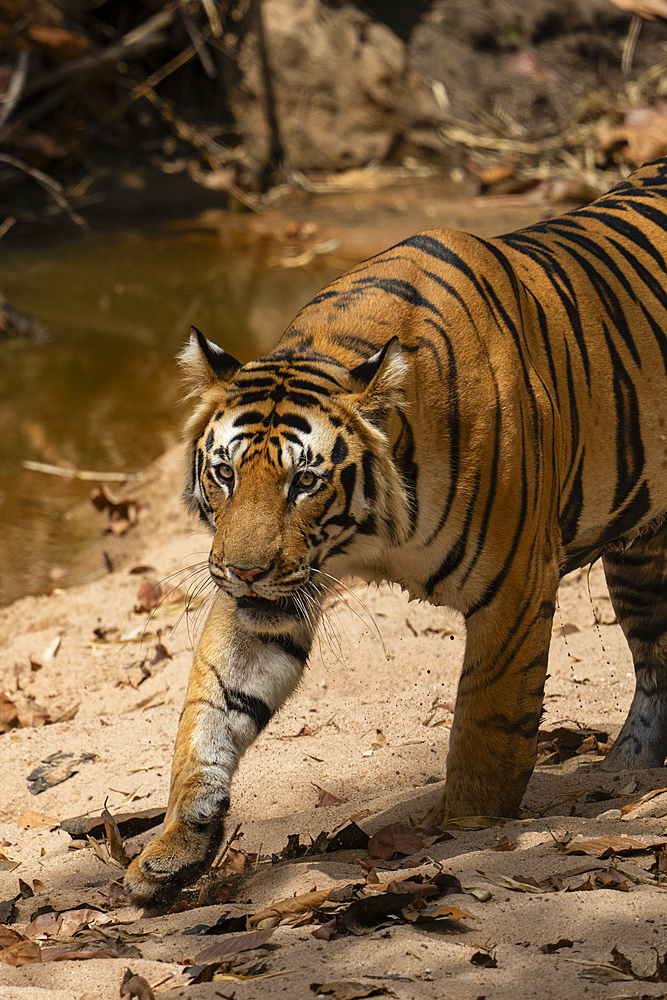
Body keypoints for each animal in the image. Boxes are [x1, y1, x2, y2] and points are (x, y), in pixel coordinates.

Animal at [125, 156, 667, 908]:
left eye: (304, 482)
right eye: (225, 474)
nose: (243, 571)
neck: (372, 532)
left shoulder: (516, 588)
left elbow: (486, 725)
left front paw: (464, 826)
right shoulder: (266, 604)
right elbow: (210, 708)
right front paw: (174, 846)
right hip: (640, 557)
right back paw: (628, 769)